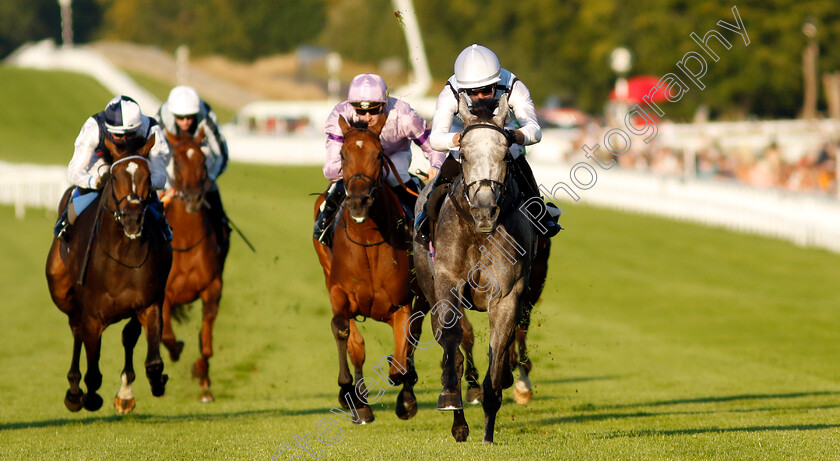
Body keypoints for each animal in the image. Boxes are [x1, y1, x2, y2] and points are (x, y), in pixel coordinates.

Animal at [45, 134, 173, 414]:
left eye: (148, 176)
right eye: (114, 176)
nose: (133, 218)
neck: (122, 258)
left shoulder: (148, 305)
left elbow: (152, 361)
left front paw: (153, 383)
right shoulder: (93, 316)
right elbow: (93, 371)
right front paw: (89, 397)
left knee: (126, 337)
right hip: (61, 290)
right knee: (76, 330)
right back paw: (74, 392)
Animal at [312, 113, 426, 422]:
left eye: (378, 154)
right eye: (342, 154)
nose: (359, 201)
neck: (368, 241)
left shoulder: (400, 304)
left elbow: (401, 360)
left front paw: (406, 396)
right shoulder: (339, 292)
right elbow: (344, 333)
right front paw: (349, 392)